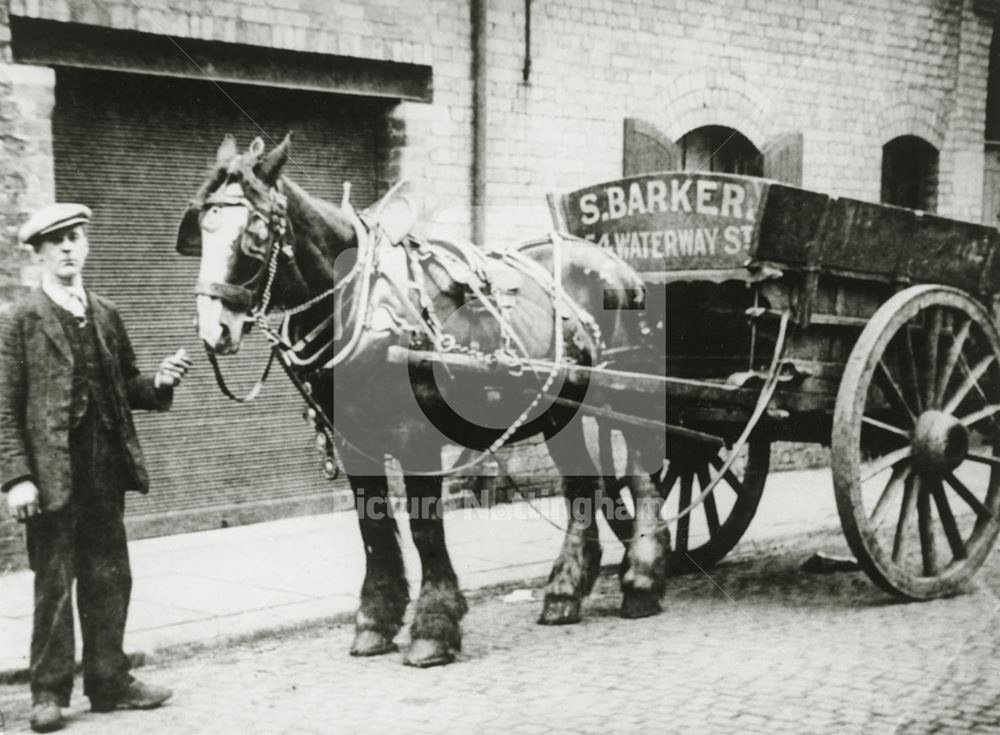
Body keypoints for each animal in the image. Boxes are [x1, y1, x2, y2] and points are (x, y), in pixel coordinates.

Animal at [178, 134, 672, 668]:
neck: (365, 310)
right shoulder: (352, 442)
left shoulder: (417, 439)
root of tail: (619, 267)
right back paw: (566, 592)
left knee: (642, 479)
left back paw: (641, 580)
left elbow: (423, 528)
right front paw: (374, 622)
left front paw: (433, 629)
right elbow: (373, 530)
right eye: (200, 229)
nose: (213, 330)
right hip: (562, 410)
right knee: (584, 487)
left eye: (254, 232)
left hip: (630, 399)